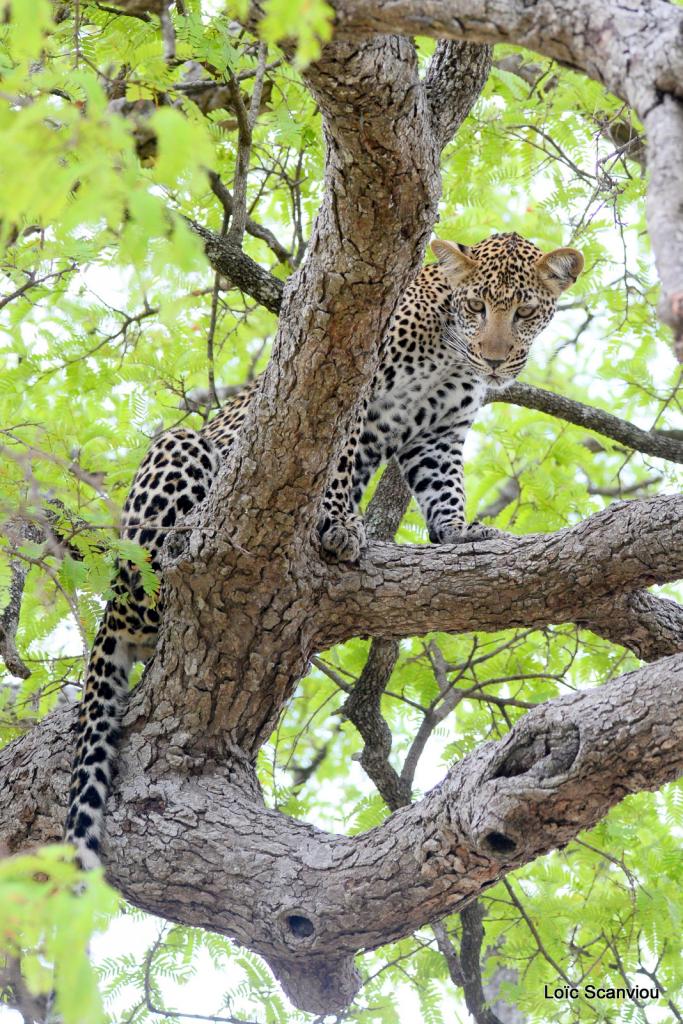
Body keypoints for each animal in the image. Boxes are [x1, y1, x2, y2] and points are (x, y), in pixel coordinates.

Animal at [63, 228, 581, 868]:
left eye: (526, 311)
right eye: (478, 306)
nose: (495, 357)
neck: (449, 352)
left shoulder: (438, 435)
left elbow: (445, 487)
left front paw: (461, 531)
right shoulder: (355, 389)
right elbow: (336, 457)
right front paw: (336, 524)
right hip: (177, 455)